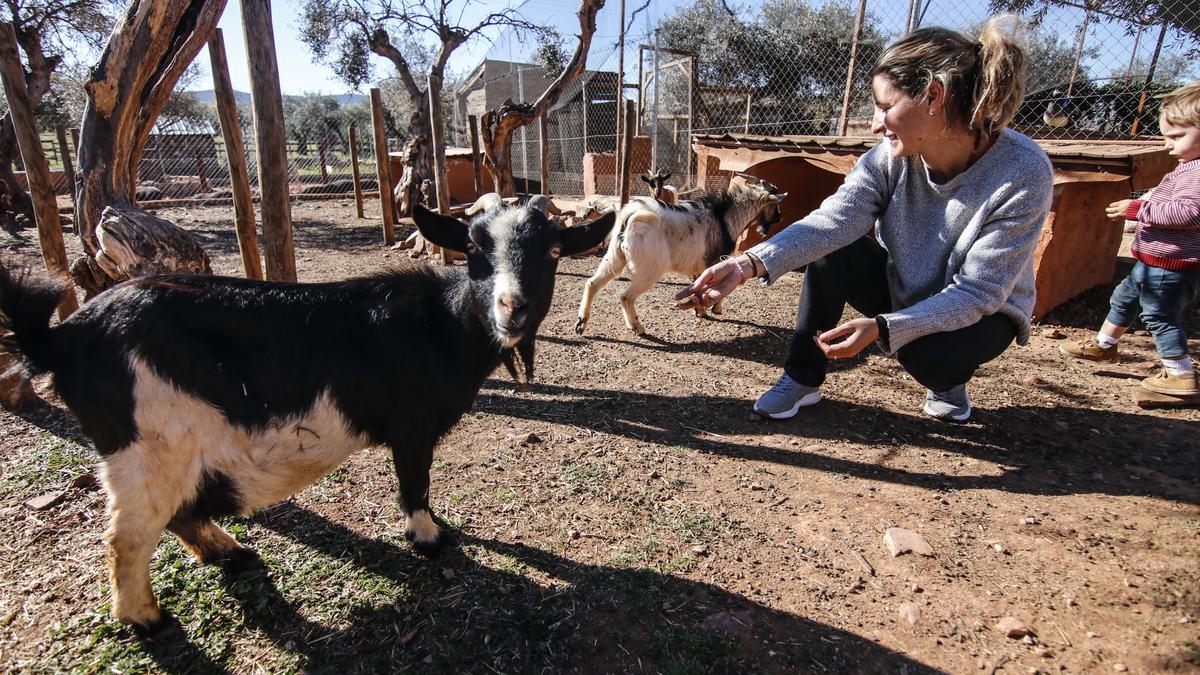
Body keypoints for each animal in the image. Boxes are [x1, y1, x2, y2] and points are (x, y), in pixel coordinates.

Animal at [0, 200, 614, 629]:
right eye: (471, 249)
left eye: (553, 252)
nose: (513, 308)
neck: (439, 325)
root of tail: (62, 337)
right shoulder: (411, 426)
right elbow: (414, 483)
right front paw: (429, 538)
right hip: (145, 444)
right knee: (128, 534)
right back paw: (147, 619)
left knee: (178, 512)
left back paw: (230, 553)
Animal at [573, 170, 787, 333]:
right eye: (775, 204)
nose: (779, 217)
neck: (725, 218)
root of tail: (631, 216)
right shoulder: (715, 261)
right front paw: (714, 309)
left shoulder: (699, 267)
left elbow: (698, 286)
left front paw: (699, 310)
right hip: (651, 268)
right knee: (626, 296)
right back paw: (637, 328)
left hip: (614, 256)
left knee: (592, 283)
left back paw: (581, 323)